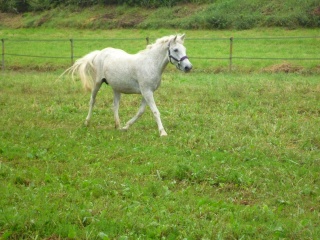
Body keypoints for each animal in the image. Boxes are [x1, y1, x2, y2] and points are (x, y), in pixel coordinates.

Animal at [62, 33, 192, 137]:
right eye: (176, 50)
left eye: (185, 48)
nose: (188, 67)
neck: (150, 64)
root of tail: (100, 53)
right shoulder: (147, 92)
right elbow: (155, 111)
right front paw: (162, 132)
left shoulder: (147, 92)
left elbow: (140, 112)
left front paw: (126, 127)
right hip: (97, 83)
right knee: (92, 101)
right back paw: (87, 122)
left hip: (116, 88)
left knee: (115, 106)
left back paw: (118, 126)